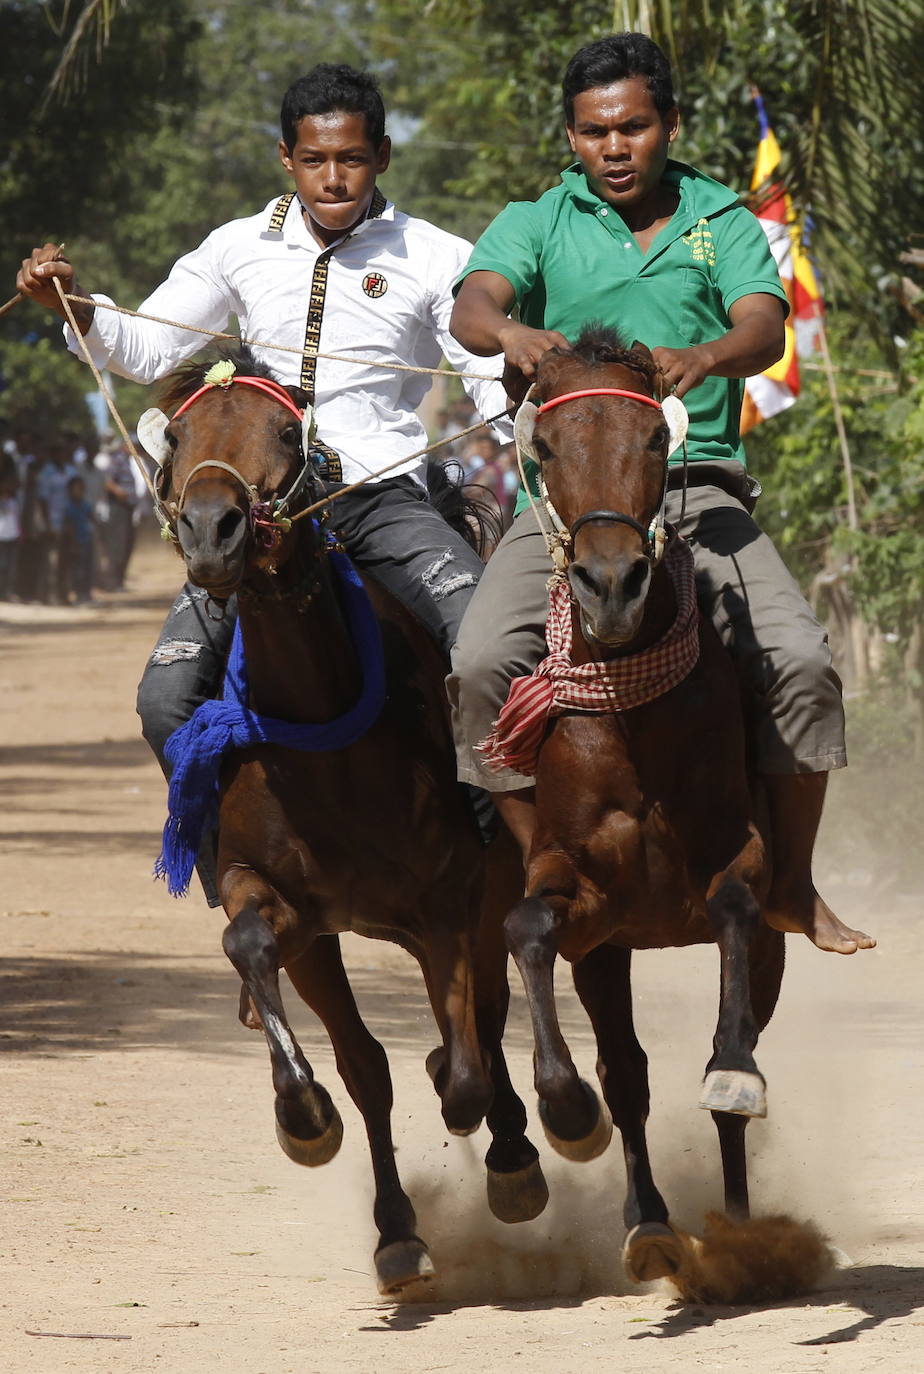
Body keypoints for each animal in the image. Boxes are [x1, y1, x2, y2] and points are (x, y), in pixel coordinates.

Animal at [140, 348, 544, 1291]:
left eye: (290, 433)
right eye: (178, 435)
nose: (213, 532)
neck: (326, 740)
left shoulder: (447, 906)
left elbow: (465, 1070)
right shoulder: (289, 911)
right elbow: (352, 1058)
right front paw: (316, 1129)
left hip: (484, 897)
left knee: (487, 1023)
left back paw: (516, 1154)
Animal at [497, 329, 786, 1286]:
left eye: (659, 441)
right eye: (547, 450)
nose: (612, 583)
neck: (629, 711)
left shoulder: (740, 860)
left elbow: (732, 908)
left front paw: (733, 1071)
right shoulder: (581, 897)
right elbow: (525, 928)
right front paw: (565, 1109)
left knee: (732, 1050)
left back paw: (738, 1229)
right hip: (610, 951)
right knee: (627, 1076)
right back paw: (650, 1222)